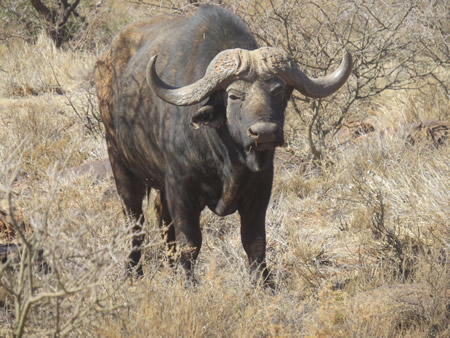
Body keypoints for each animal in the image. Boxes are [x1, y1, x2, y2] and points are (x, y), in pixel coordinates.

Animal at [93, 4, 350, 286]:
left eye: (278, 91)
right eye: (234, 95)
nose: (264, 133)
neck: (228, 157)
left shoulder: (262, 187)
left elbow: (254, 240)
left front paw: (264, 283)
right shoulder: (181, 187)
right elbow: (190, 241)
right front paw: (188, 284)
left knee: (161, 217)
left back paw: (169, 267)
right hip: (121, 164)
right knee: (135, 223)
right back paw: (133, 272)